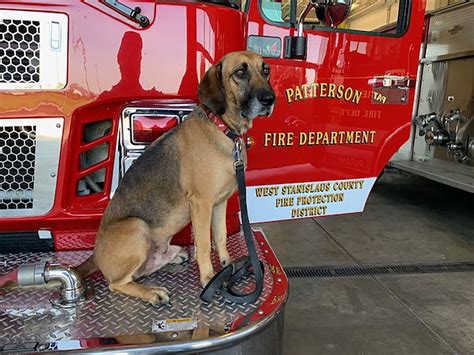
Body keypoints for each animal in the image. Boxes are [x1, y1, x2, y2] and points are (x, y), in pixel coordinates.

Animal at [76, 50, 276, 306]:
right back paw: (152, 292)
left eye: (265, 70)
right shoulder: (201, 205)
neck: (222, 128)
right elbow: (204, 245)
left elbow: (220, 237)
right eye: (240, 72)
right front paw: (209, 279)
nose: (269, 99)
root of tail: (95, 256)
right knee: (116, 284)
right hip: (137, 226)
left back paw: (173, 256)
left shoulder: (219, 204)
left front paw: (228, 266)